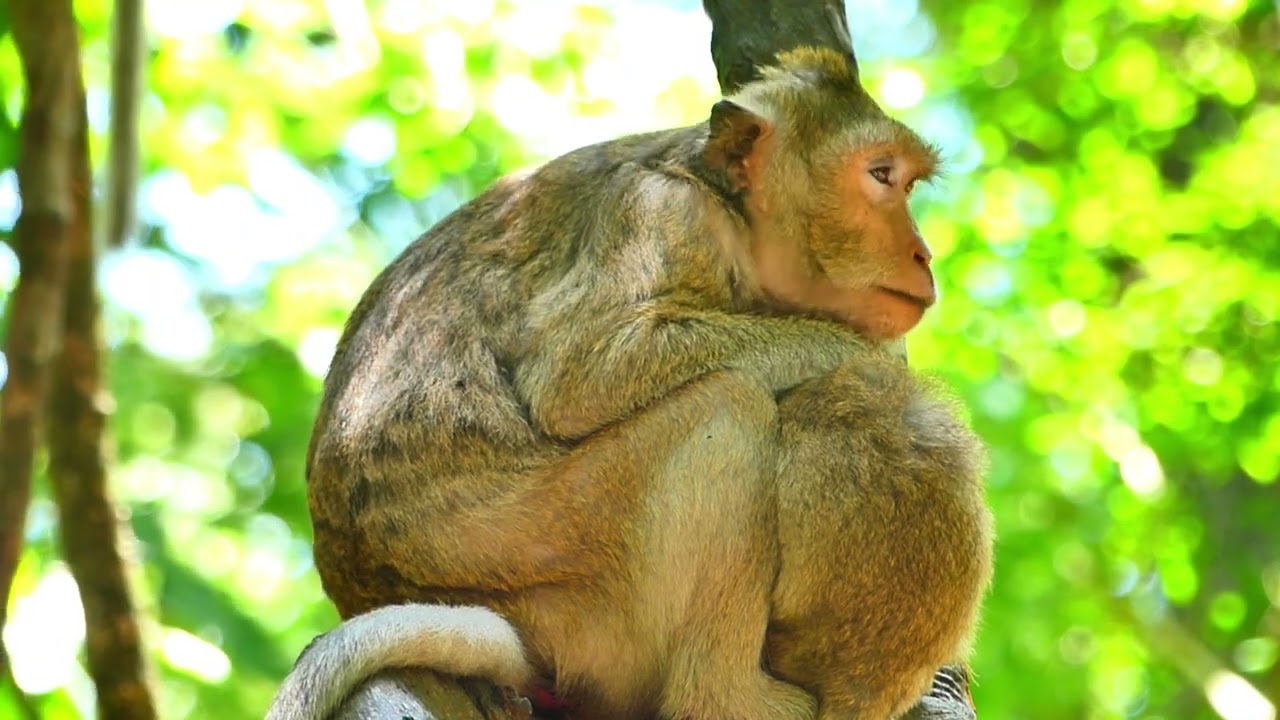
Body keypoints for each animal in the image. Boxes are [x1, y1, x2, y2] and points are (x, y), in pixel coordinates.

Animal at [268, 47, 993, 720]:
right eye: (880, 176)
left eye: (906, 183)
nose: (923, 253)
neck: (727, 209)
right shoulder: (660, 216)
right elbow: (580, 374)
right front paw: (858, 357)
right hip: (557, 554)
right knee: (727, 409)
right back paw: (728, 696)